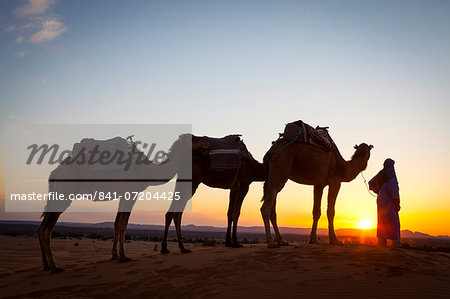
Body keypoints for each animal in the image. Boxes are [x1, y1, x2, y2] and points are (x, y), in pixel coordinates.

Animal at [37, 135, 191, 274]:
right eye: (193, 140)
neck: (146, 170)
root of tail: (56, 171)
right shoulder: (131, 193)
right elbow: (123, 224)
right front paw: (123, 256)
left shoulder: (123, 195)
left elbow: (116, 223)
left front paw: (114, 255)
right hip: (64, 193)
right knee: (46, 229)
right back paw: (54, 267)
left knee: (41, 228)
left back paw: (45, 266)